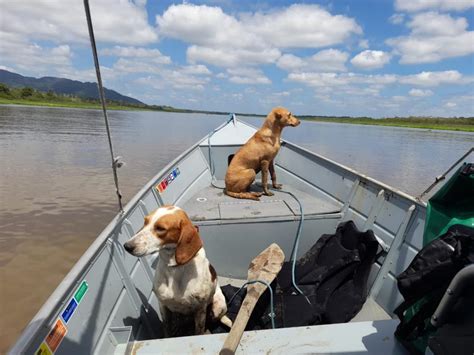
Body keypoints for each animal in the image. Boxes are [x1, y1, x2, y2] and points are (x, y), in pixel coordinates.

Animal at [124, 206, 231, 336]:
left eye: (161, 228)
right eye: (145, 222)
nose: (127, 246)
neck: (175, 267)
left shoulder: (200, 309)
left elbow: (199, 330)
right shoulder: (163, 306)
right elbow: (166, 330)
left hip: (218, 307)